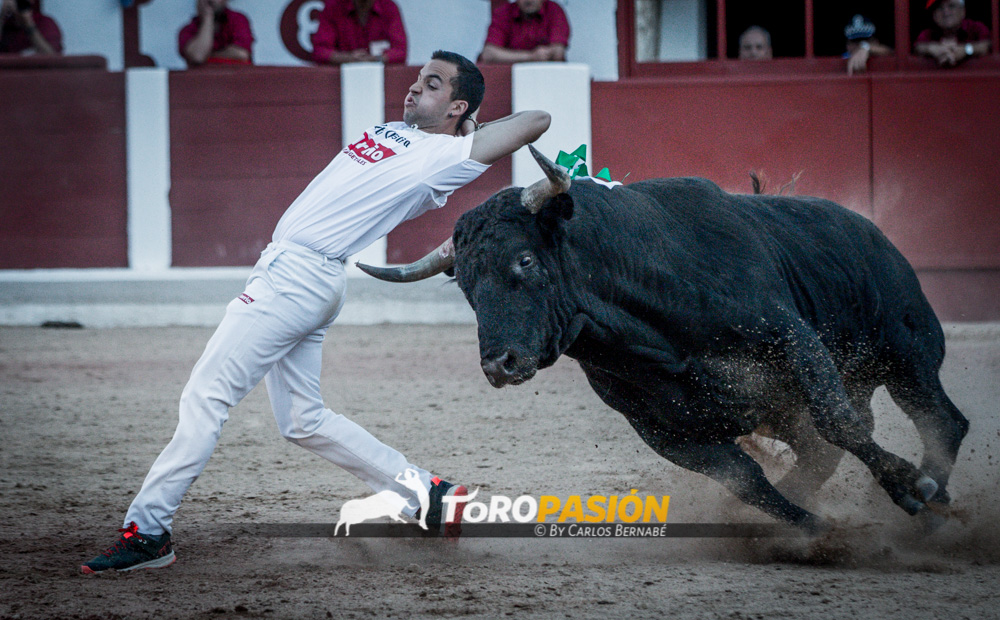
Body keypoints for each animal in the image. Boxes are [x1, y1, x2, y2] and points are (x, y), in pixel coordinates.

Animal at [358, 146, 969, 533]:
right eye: (465, 283)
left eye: (525, 260)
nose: (499, 364)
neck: (654, 337)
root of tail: (871, 231)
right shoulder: (661, 428)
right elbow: (746, 480)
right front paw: (819, 529)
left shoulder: (791, 340)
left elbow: (837, 422)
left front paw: (909, 488)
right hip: (797, 406)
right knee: (825, 449)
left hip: (907, 356)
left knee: (939, 420)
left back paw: (932, 496)